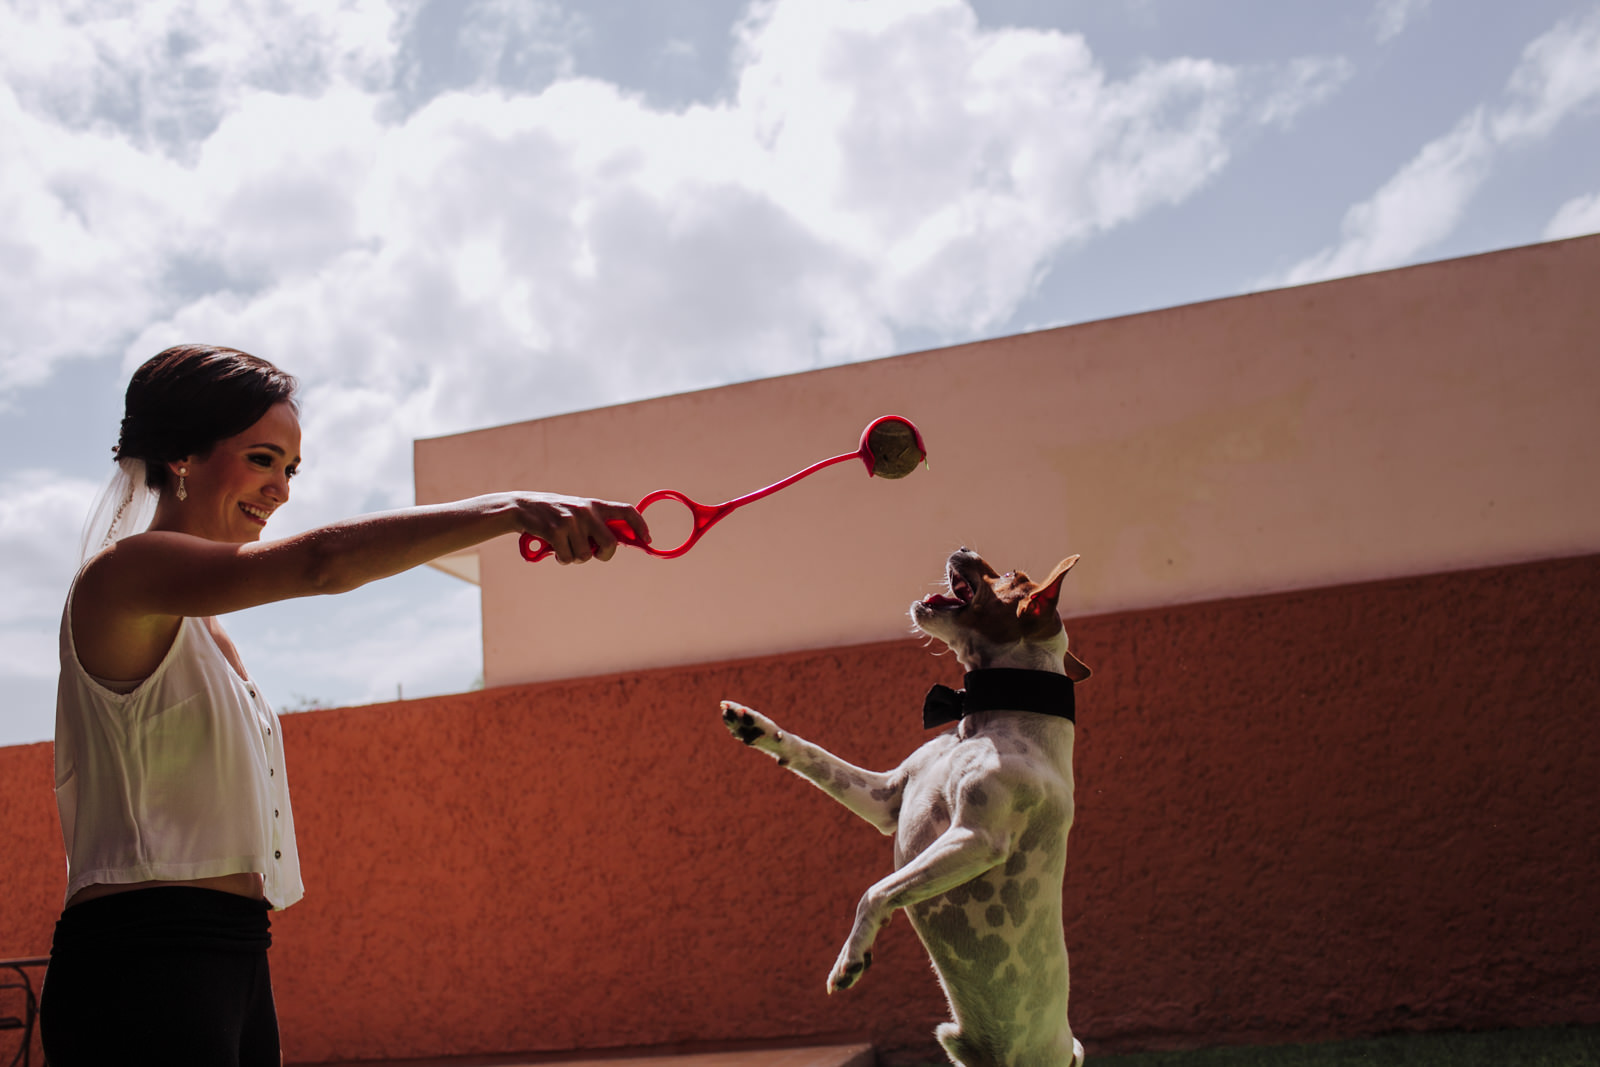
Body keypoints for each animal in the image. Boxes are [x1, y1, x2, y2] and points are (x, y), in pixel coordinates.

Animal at [723, 550, 1088, 1067]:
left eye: (1009, 576)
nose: (963, 547)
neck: (979, 726)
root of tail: (1068, 1050)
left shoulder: (975, 839)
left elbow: (876, 892)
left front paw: (852, 957)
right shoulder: (885, 798)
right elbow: (814, 756)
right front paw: (755, 727)